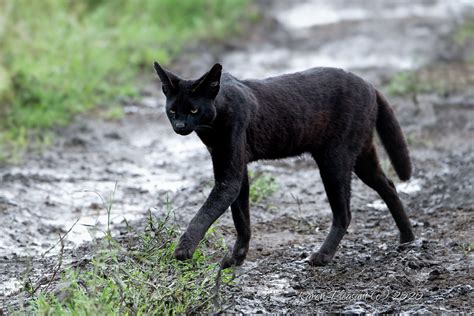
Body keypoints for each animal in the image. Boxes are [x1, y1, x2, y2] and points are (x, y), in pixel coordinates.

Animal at [153, 61, 414, 266]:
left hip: (335, 160)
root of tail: (369, 85)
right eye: (173, 111)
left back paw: (322, 256)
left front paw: (183, 250)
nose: (180, 126)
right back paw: (407, 239)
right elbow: (241, 217)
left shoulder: (229, 176)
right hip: (362, 156)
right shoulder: (236, 170)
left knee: (345, 212)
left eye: (193, 109)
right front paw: (237, 258)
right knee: (389, 186)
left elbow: (206, 212)